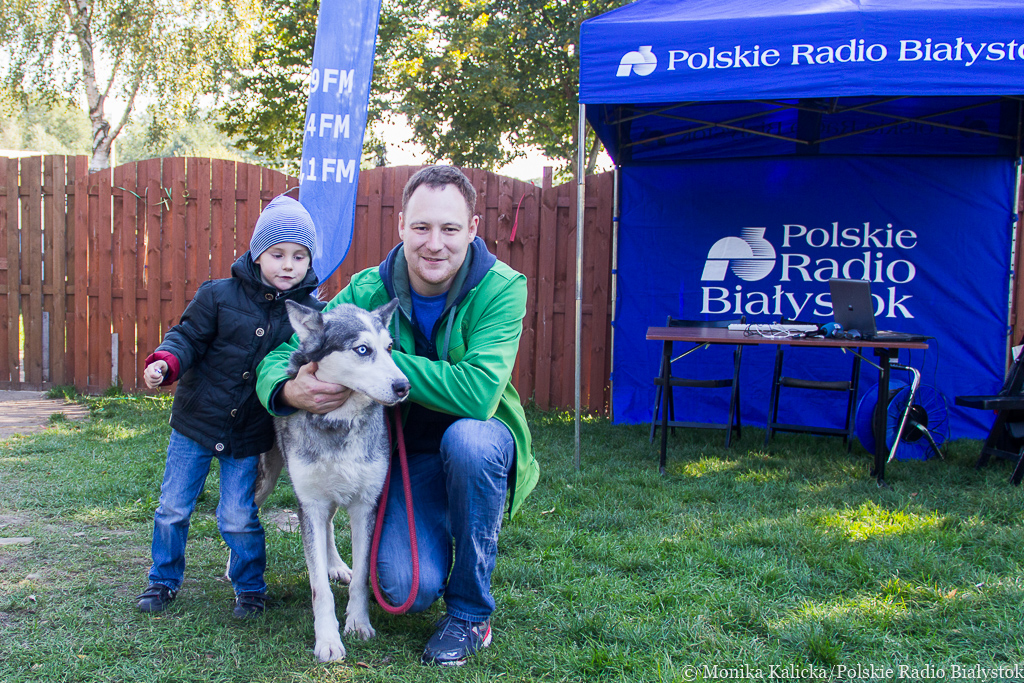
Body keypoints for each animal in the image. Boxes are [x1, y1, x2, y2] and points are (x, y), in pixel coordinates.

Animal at [253, 298, 409, 662]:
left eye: (389, 348)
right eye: (363, 349)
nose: (404, 386)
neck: (341, 422)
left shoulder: (365, 505)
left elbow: (362, 577)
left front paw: (359, 623)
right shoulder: (308, 504)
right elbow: (318, 589)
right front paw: (327, 640)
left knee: (327, 528)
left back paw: (335, 564)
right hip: (268, 481)